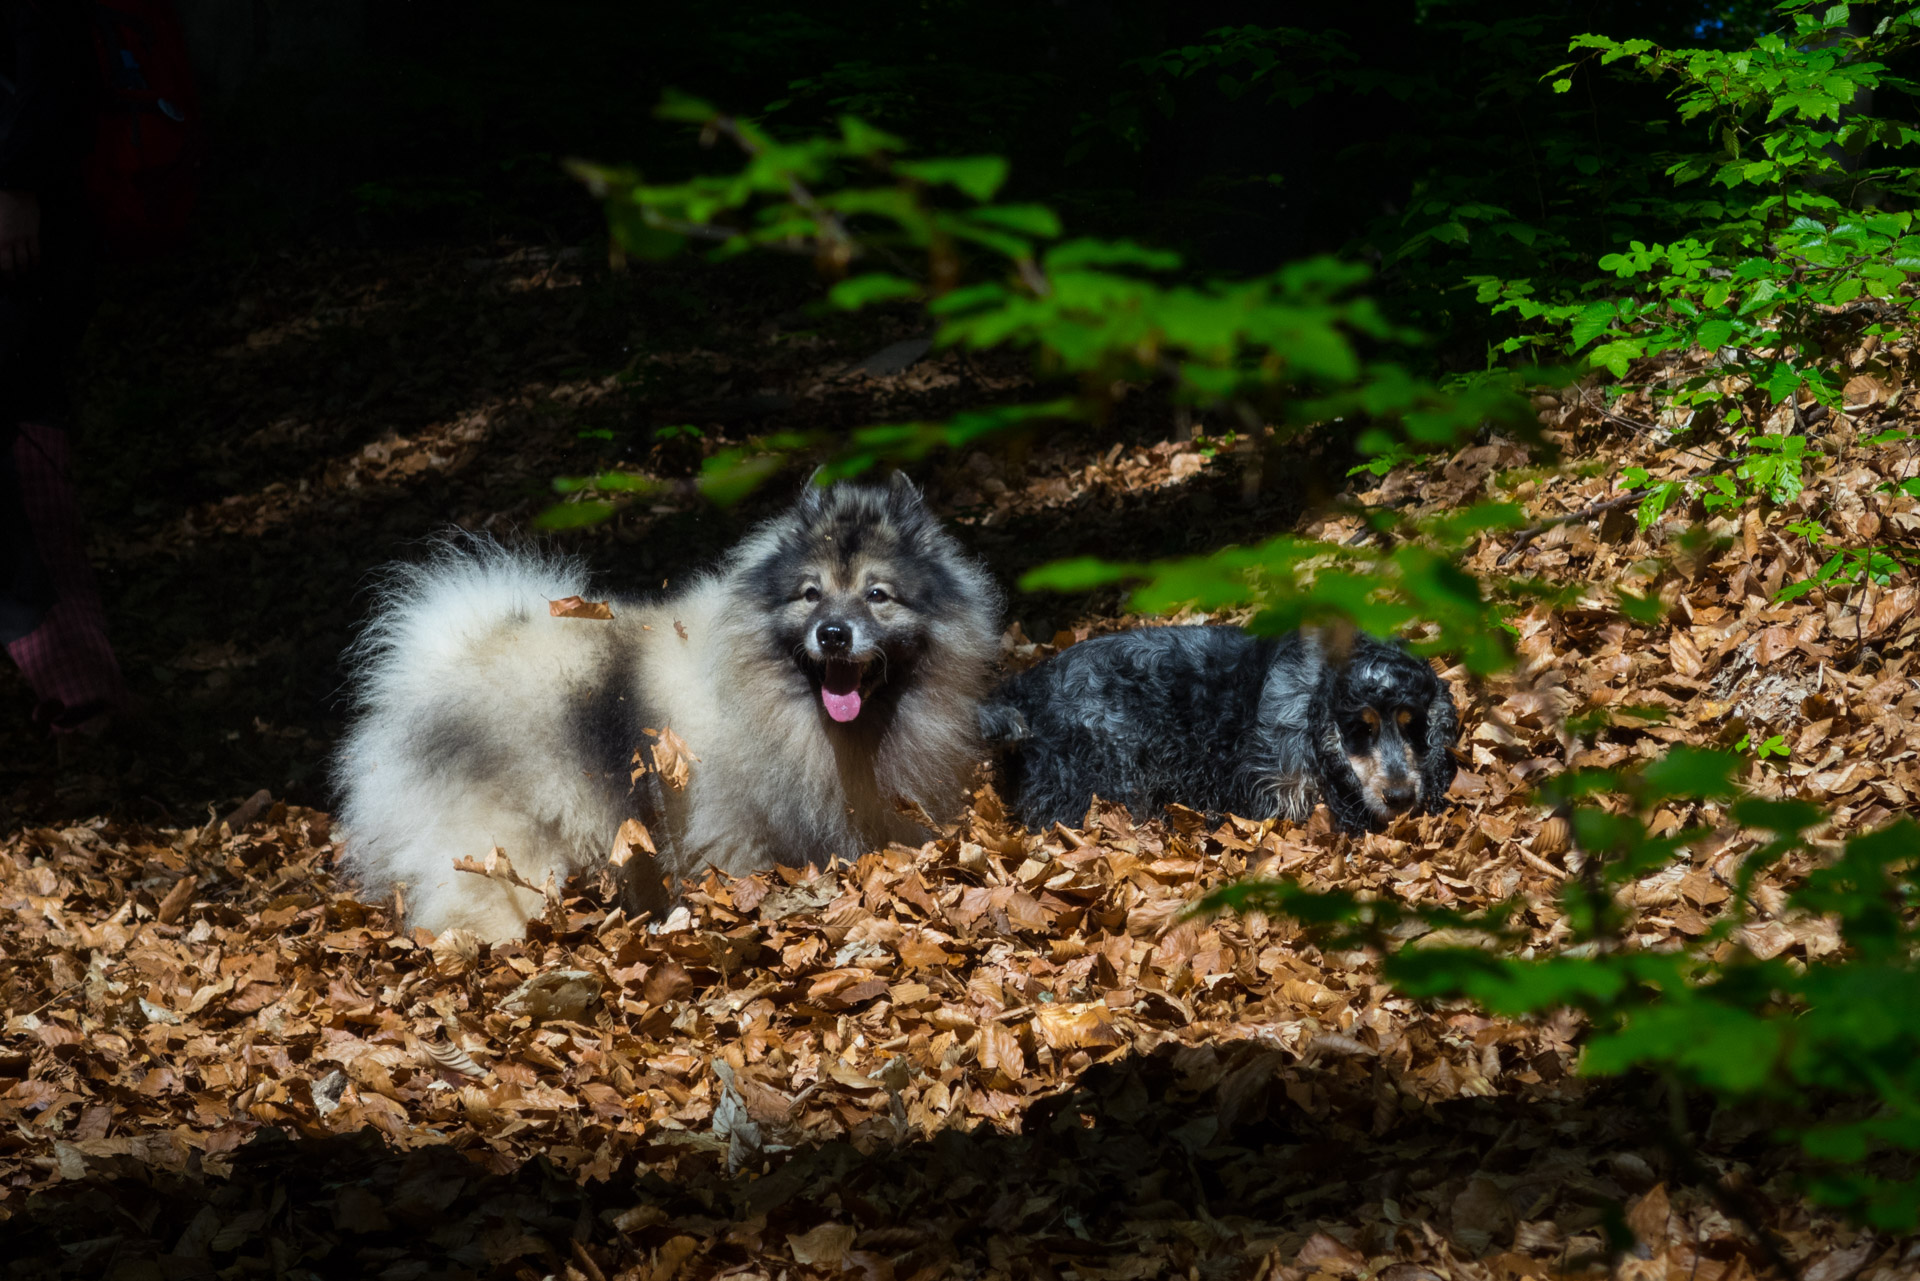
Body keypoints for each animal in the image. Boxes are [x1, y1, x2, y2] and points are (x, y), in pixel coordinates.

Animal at [332, 476, 1006, 937]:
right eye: (811, 594)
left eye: (877, 595)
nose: (834, 634)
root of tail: (437, 663)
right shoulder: (732, 835)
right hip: (503, 848)